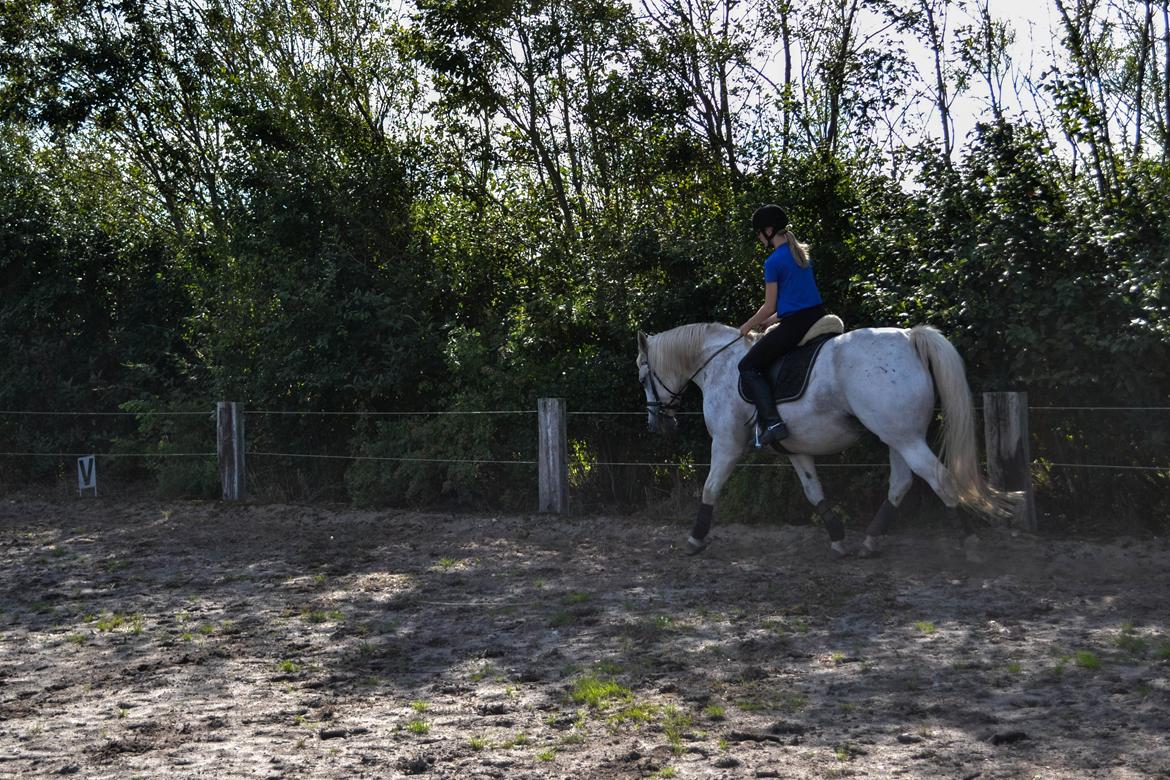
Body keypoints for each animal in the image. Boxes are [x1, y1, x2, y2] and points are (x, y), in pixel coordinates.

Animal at [636, 320, 1020, 558]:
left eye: (642, 377)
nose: (657, 424)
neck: (719, 364)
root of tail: (910, 338)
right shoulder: (796, 448)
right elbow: (814, 492)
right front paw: (837, 538)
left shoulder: (726, 444)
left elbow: (710, 487)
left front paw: (695, 538)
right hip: (898, 435)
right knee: (901, 483)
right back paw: (869, 542)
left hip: (904, 437)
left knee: (938, 478)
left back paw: (969, 541)